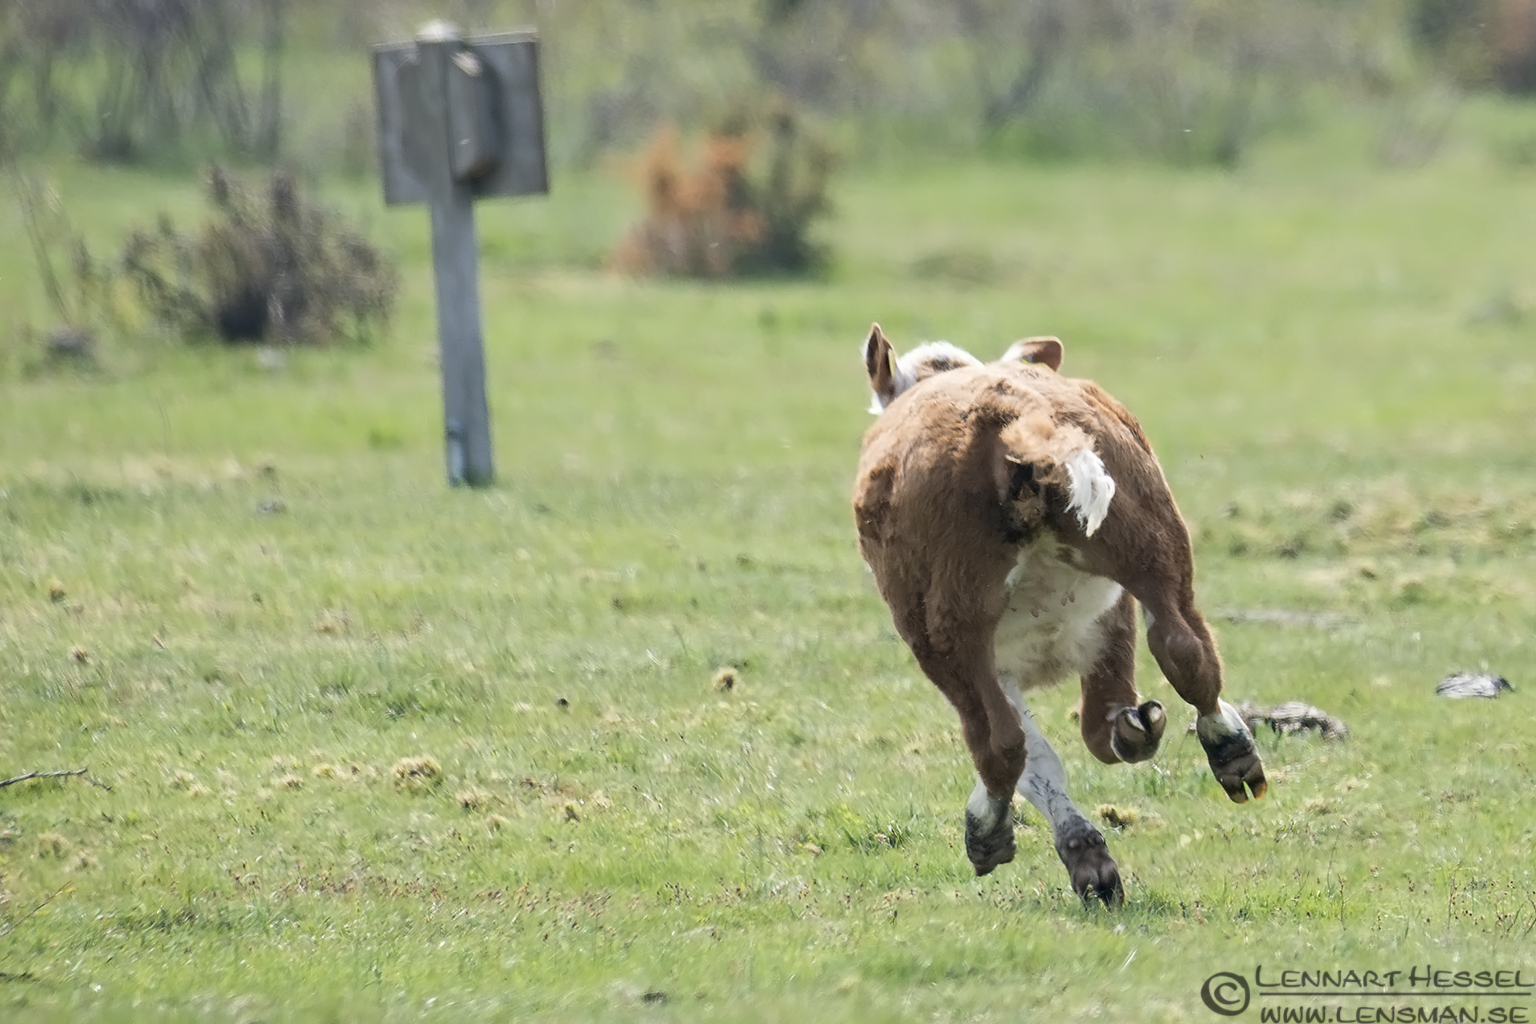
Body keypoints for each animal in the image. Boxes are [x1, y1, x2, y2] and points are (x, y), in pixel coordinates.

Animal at [852, 324, 1266, 905]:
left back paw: (987, 830)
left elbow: (1034, 755)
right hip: (1154, 551)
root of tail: (1011, 414)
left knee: (999, 741)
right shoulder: (1114, 623)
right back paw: (1225, 748)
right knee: (1186, 651)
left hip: (945, 632)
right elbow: (1091, 732)